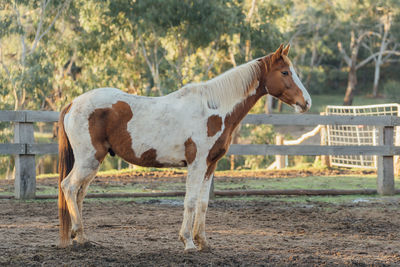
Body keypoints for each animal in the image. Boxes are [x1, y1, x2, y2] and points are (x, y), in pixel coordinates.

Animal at [57, 43, 310, 251]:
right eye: (285, 72)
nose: (306, 102)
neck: (213, 109)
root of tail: (72, 103)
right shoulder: (196, 164)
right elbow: (189, 201)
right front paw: (188, 241)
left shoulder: (210, 165)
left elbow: (203, 203)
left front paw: (203, 241)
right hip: (88, 160)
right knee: (69, 187)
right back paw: (79, 235)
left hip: (93, 163)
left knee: (80, 193)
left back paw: (81, 238)